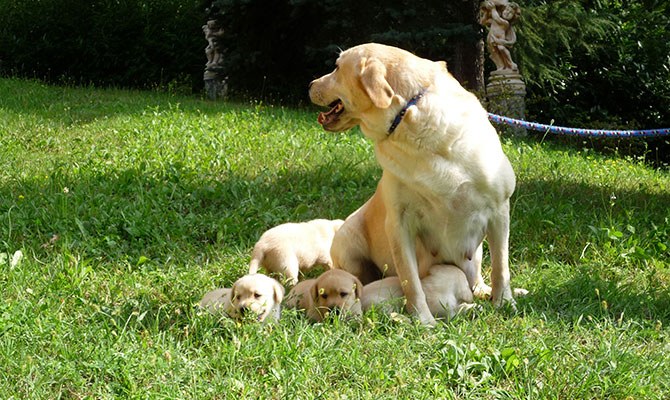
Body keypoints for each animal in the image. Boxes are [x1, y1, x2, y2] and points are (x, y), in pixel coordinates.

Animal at [310, 43, 524, 324]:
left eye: (336, 67)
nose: (310, 84)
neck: (409, 115)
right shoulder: (400, 225)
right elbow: (411, 281)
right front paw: (423, 320)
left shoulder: (499, 210)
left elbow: (501, 266)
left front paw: (504, 302)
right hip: (347, 245)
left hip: (476, 254)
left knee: (478, 280)